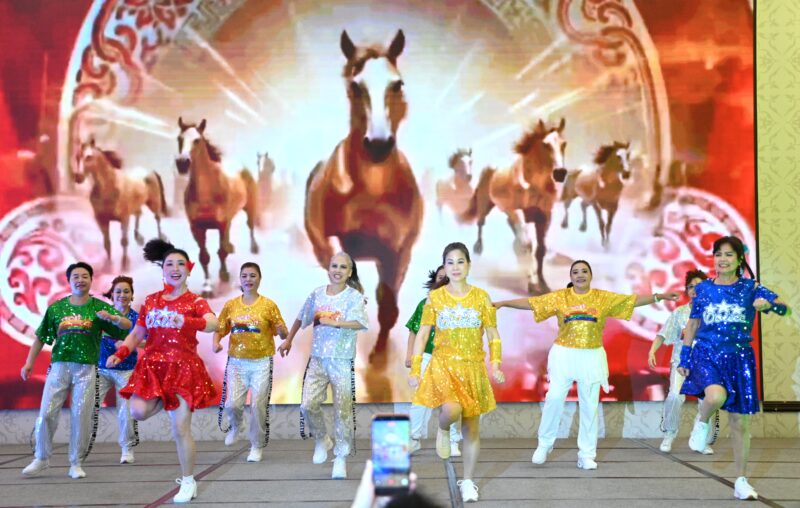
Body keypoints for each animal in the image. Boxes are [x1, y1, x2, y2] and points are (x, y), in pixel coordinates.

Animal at [74, 138, 168, 270]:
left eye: (89, 156)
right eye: (77, 156)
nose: (78, 177)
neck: (109, 188)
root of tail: (150, 171)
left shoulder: (124, 218)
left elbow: (124, 241)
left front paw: (125, 264)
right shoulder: (101, 220)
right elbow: (107, 243)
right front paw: (108, 265)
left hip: (154, 203)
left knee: (157, 218)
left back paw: (159, 239)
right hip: (137, 205)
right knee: (139, 214)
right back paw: (139, 237)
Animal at [175, 117, 260, 291]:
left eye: (197, 140)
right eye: (179, 139)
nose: (182, 163)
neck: (206, 197)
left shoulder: (222, 224)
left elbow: (221, 252)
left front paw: (224, 275)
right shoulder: (196, 228)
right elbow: (204, 256)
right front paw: (207, 287)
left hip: (250, 207)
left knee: (250, 225)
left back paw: (254, 247)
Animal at [305, 29, 422, 364]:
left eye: (398, 84)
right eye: (356, 86)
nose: (379, 144)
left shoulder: (398, 253)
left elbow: (388, 307)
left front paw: (379, 358)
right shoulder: (327, 244)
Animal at [461, 119, 567, 294]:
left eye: (564, 144)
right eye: (545, 144)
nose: (560, 173)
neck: (533, 185)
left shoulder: (544, 215)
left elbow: (540, 249)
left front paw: (544, 284)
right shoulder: (517, 212)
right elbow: (527, 245)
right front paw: (533, 285)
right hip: (486, 206)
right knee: (481, 223)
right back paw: (478, 248)